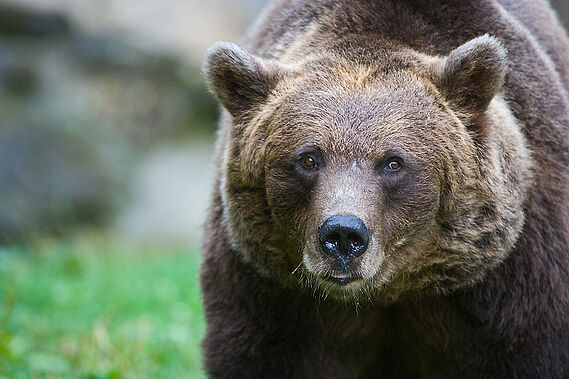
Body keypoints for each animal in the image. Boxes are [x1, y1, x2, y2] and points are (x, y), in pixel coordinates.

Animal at [199, 0, 568, 378]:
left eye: (393, 162)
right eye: (308, 158)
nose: (343, 234)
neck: (387, 293)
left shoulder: (511, 284)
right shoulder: (271, 291)